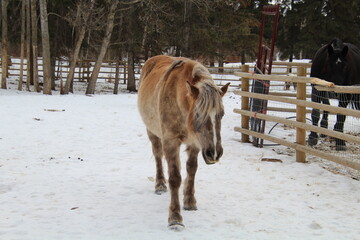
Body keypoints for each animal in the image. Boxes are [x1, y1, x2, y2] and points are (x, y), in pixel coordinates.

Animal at [138, 55, 231, 230]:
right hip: (152, 132)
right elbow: (175, 178)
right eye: (198, 113)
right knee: (158, 156)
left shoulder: (195, 143)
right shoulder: (170, 141)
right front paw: (175, 218)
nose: (214, 153)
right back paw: (160, 185)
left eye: (221, 114)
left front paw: (189, 201)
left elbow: (191, 169)